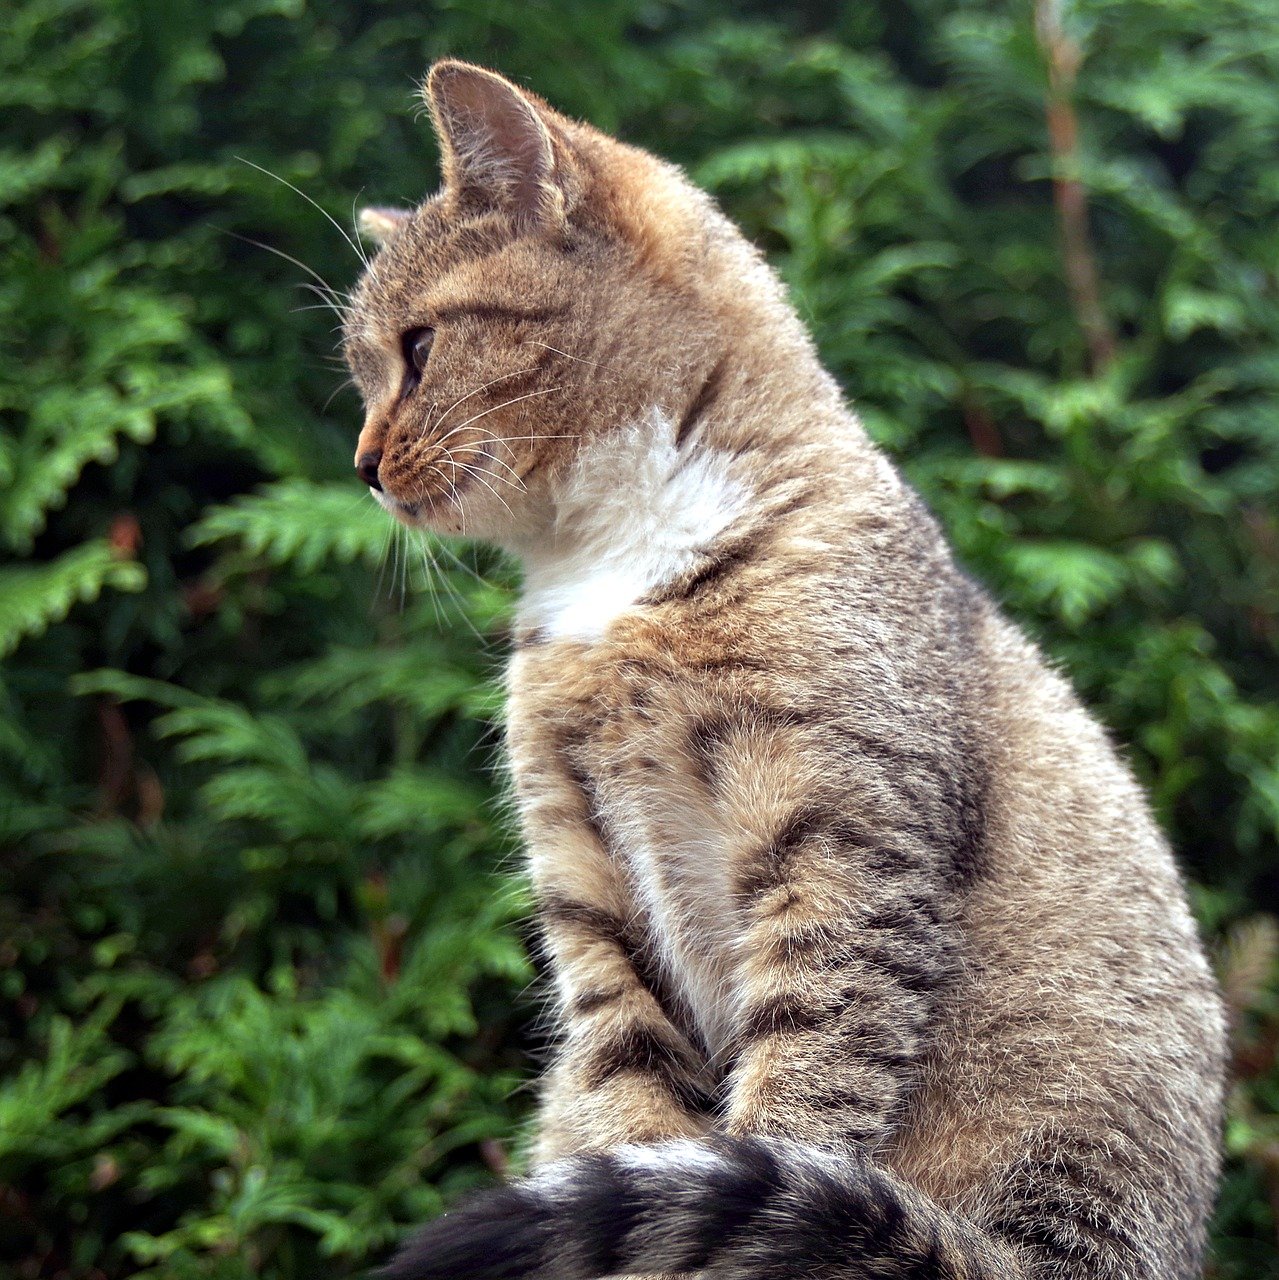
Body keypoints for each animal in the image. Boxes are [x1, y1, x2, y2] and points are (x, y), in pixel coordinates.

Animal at [340, 60, 1229, 1280]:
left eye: (420, 346)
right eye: (360, 370)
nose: (361, 465)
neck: (609, 566)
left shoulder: (843, 847)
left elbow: (805, 1088)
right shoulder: (583, 876)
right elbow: (626, 1085)